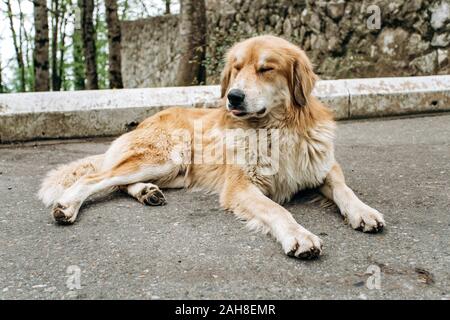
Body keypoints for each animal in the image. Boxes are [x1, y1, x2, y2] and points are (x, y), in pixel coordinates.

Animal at [38, 35, 384, 260]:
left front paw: (364, 212)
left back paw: (147, 192)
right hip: (166, 157)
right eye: (237, 68)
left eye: (266, 69)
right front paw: (299, 235)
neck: (276, 130)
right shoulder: (240, 187)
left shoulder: (324, 166)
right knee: (96, 178)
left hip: (175, 171)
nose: (233, 97)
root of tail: (145, 122)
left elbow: (344, 189)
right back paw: (68, 206)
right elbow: (278, 210)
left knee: (120, 183)